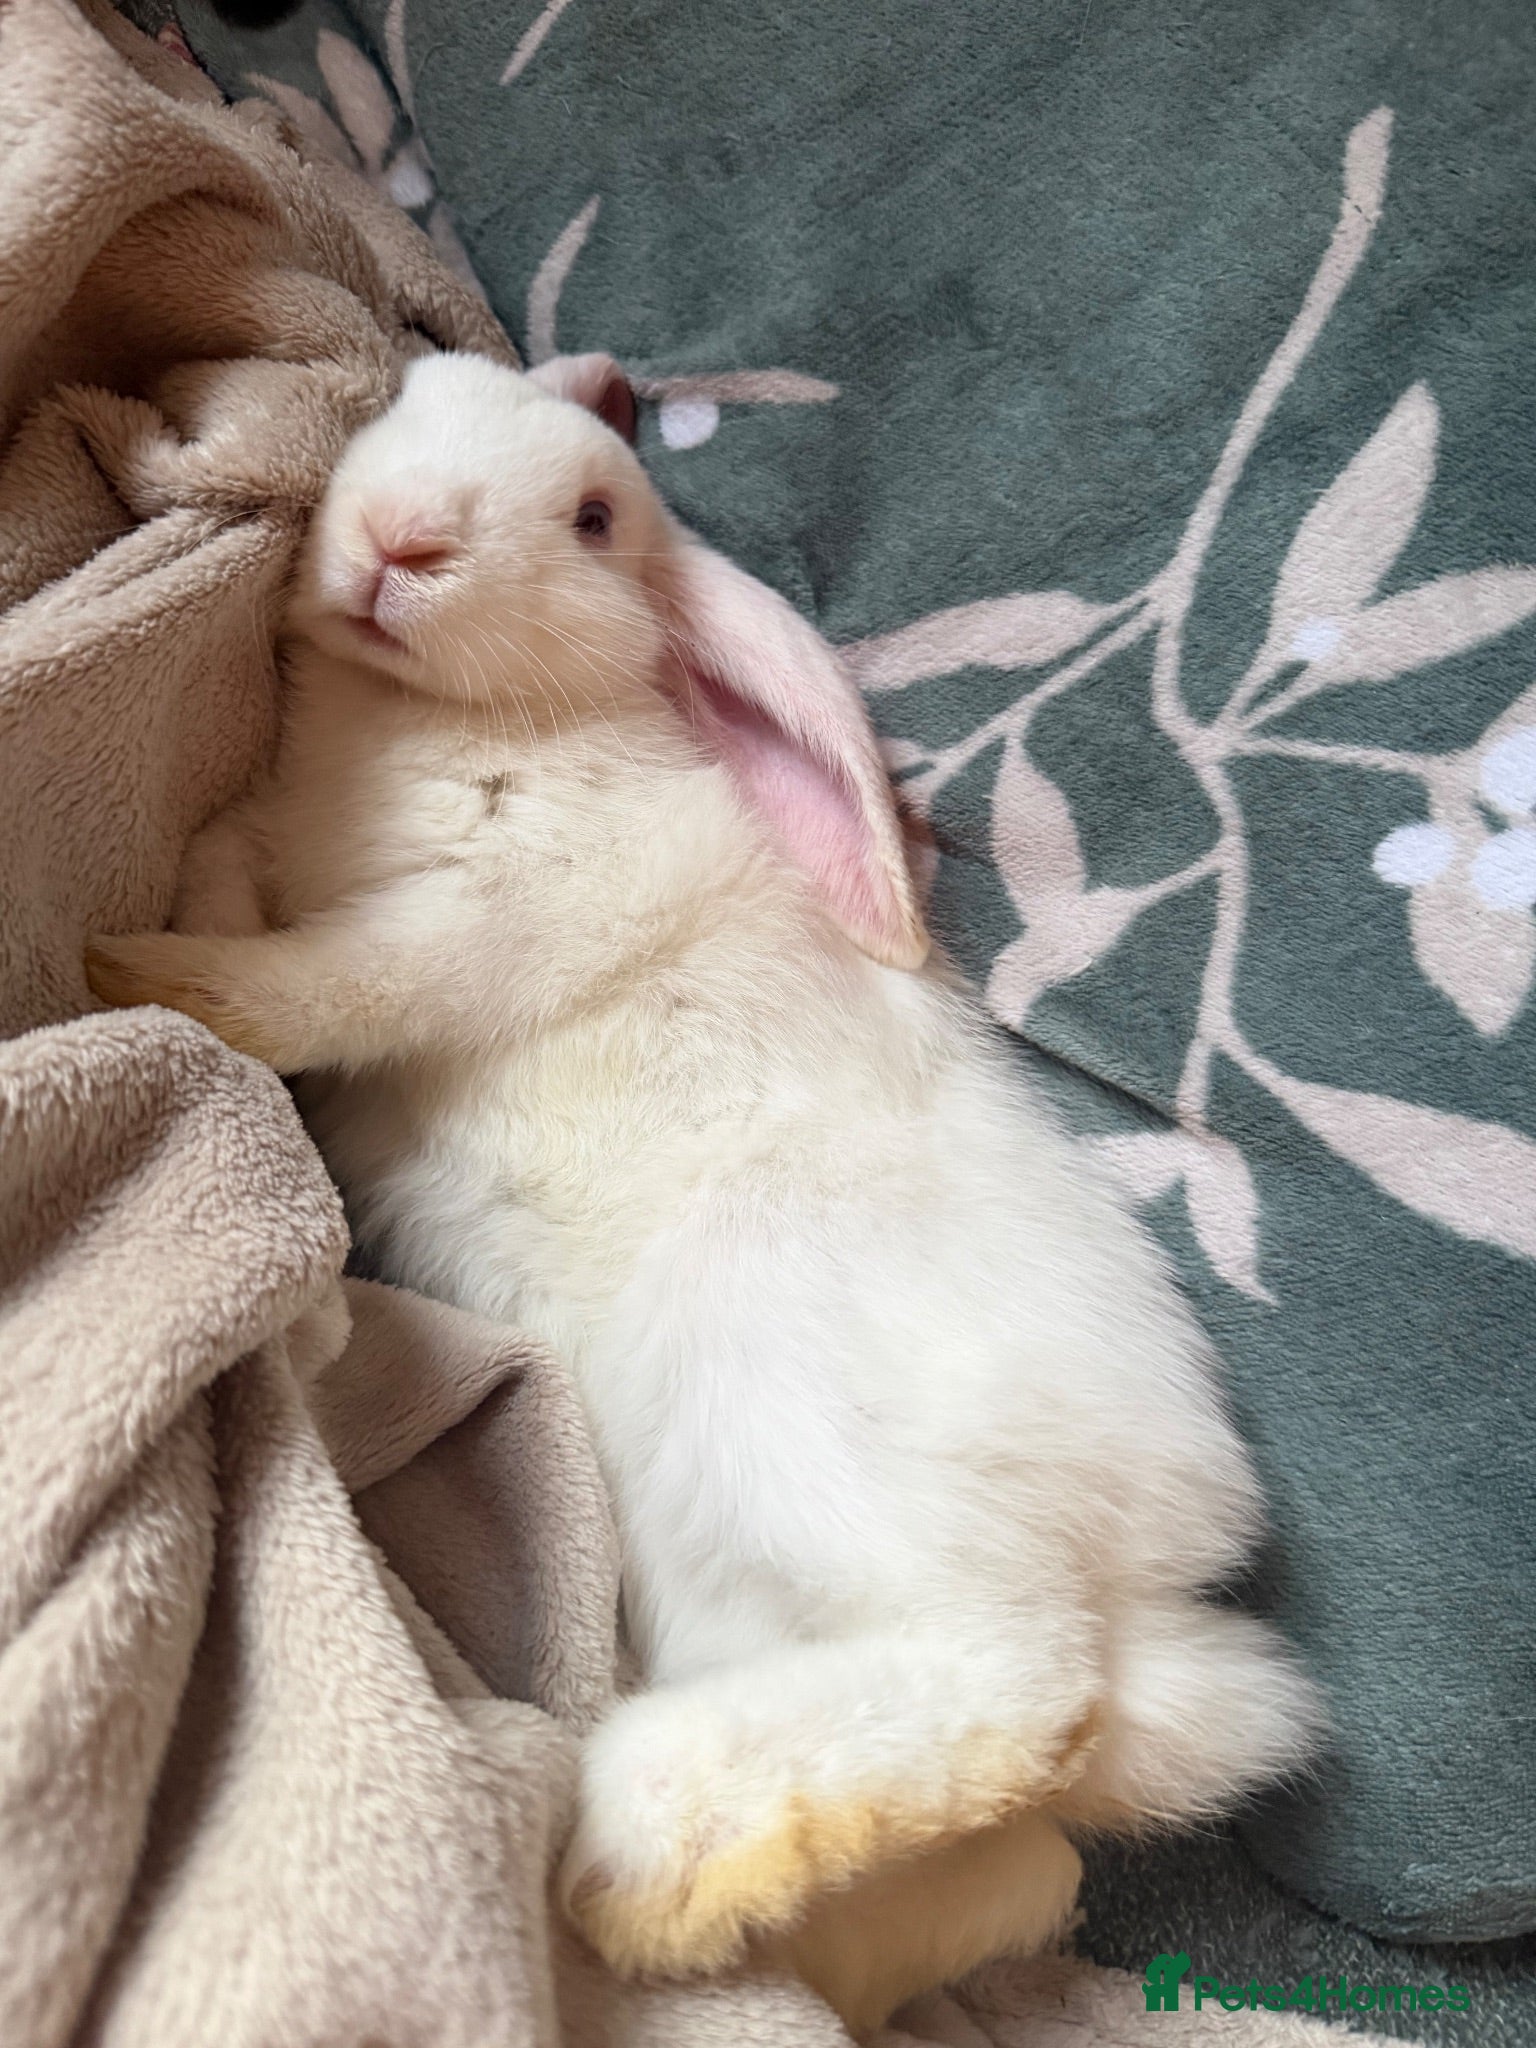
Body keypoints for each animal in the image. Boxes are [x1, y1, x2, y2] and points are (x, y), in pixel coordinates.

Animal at [86, 349, 1320, 2036]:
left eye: (596, 518)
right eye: (418, 395)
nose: (402, 540)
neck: (425, 717)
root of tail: (1164, 1622)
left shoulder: (486, 918)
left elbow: (332, 983)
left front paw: (145, 973)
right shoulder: (293, 848)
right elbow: (235, 869)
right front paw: (176, 922)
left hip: (790, 1420)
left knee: (1021, 1682)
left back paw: (636, 1871)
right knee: (1025, 1863)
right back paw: (762, 1923)